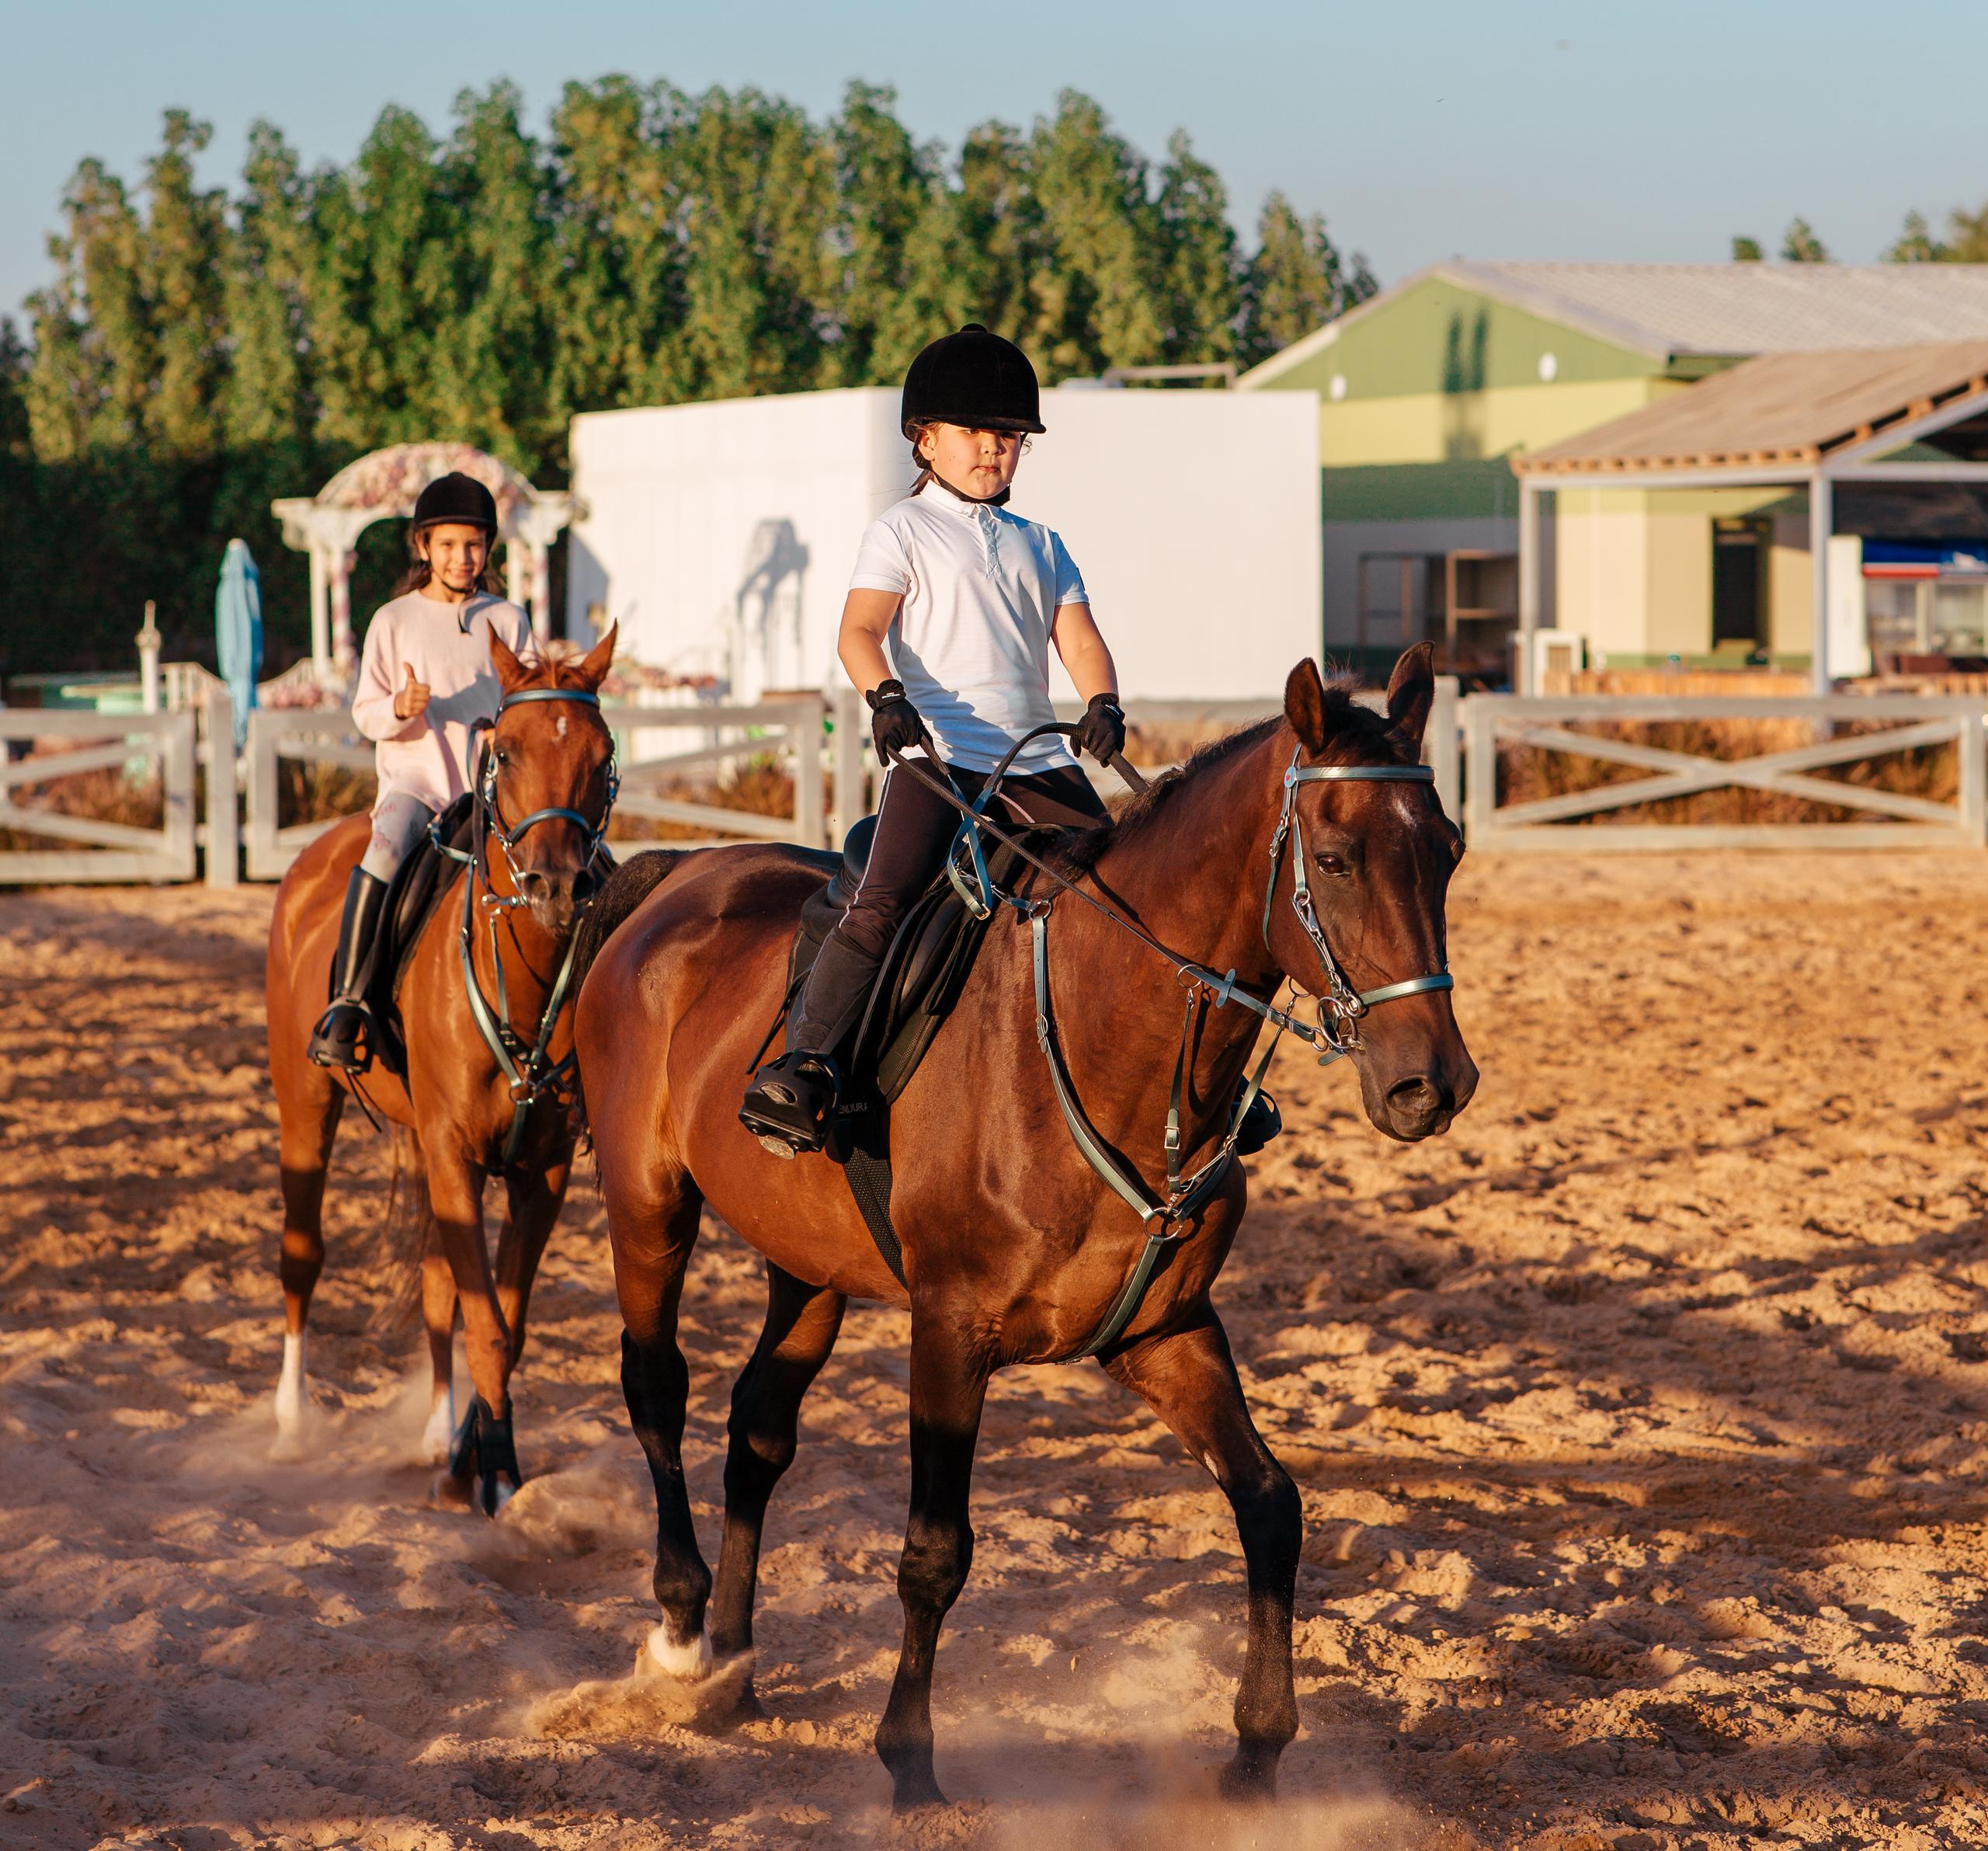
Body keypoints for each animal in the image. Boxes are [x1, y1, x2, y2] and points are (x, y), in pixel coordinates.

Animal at [264, 627, 617, 1512]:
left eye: (600, 754)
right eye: (508, 750)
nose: (556, 885)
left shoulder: (540, 1171)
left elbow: (502, 1321)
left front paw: (478, 1455)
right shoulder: (456, 1153)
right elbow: (486, 1323)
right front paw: (493, 1471)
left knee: (431, 1287)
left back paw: (432, 1434)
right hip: (303, 1103)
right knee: (302, 1253)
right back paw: (290, 1421)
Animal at [570, 645, 1476, 1808]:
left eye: (1447, 851)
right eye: (1336, 857)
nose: (1431, 1082)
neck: (1103, 1039)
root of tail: (678, 879)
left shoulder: (1164, 1331)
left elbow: (1272, 1504)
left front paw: (1257, 1749)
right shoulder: (951, 1332)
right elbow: (934, 1550)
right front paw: (909, 1760)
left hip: (805, 1267)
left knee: (756, 1431)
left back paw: (732, 1657)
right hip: (648, 1211)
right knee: (657, 1389)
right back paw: (685, 1629)